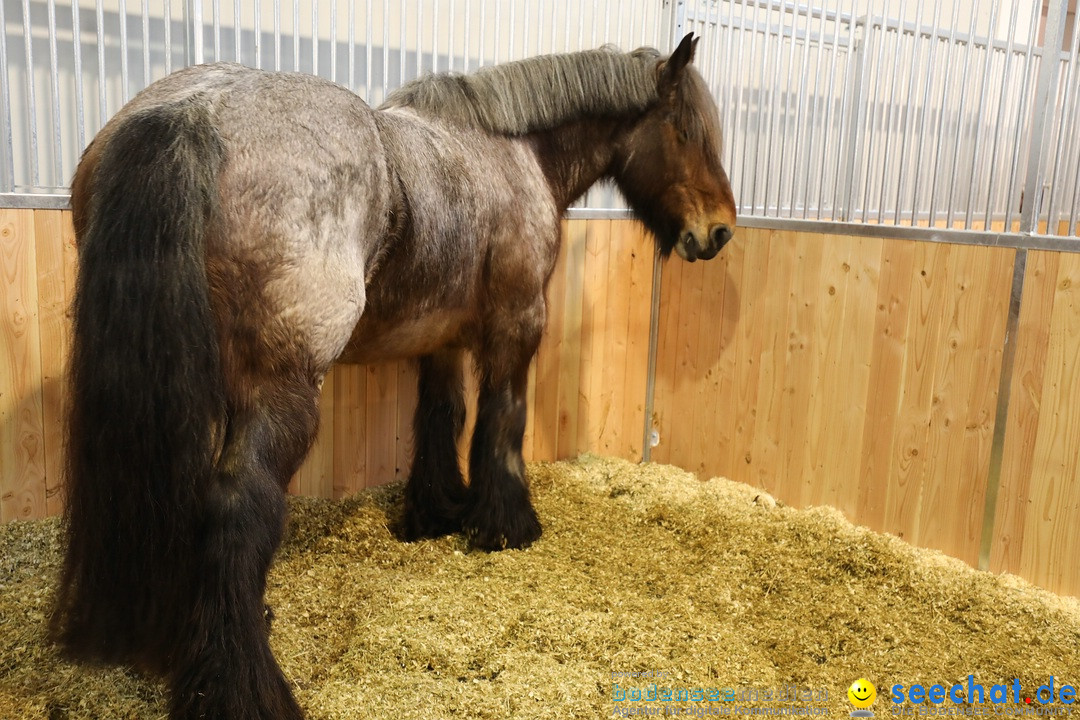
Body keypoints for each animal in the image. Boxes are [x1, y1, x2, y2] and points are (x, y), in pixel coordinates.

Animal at [52, 33, 734, 720]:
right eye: (684, 131)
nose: (720, 231)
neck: (511, 153)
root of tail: (190, 111)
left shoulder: (440, 338)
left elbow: (441, 416)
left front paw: (437, 512)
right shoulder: (518, 322)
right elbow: (503, 419)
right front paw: (506, 525)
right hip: (281, 391)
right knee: (235, 510)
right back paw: (243, 688)